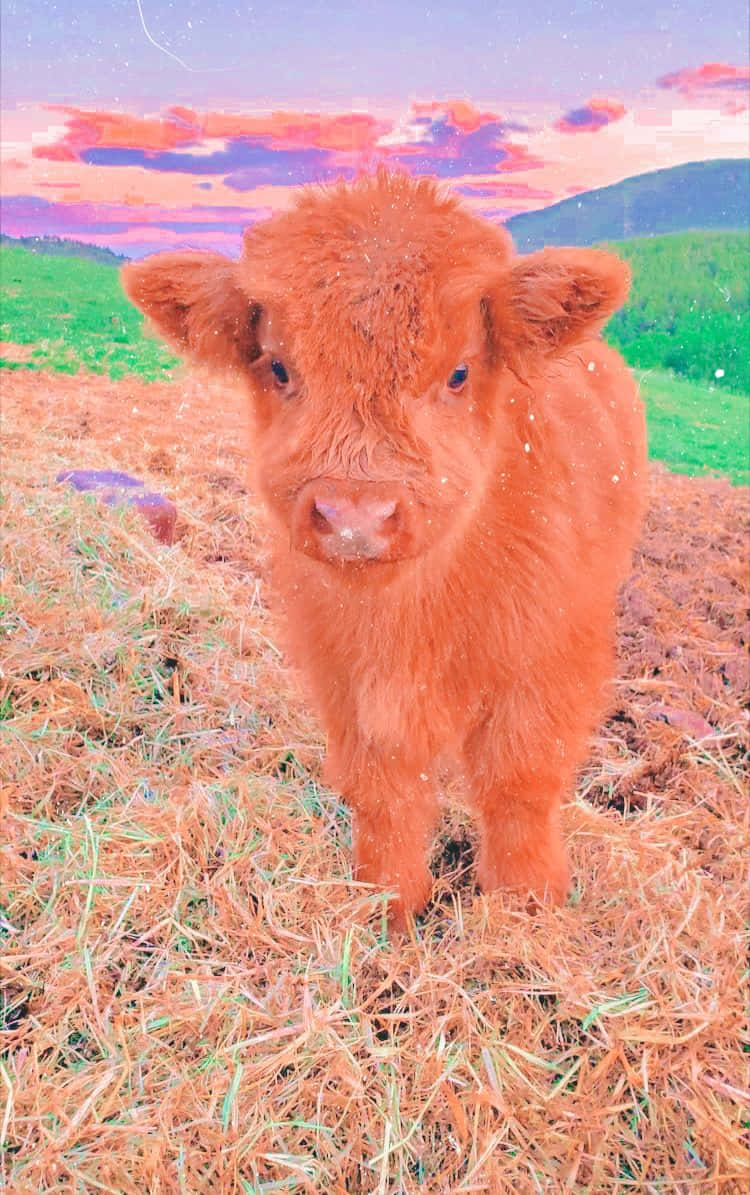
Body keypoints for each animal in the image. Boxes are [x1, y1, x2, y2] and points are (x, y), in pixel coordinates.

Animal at [121, 168, 644, 927]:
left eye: (458, 372)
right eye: (279, 367)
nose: (355, 516)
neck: (418, 611)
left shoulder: (550, 660)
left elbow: (519, 779)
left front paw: (526, 904)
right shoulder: (345, 671)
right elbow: (385, 787)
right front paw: (387, 904)